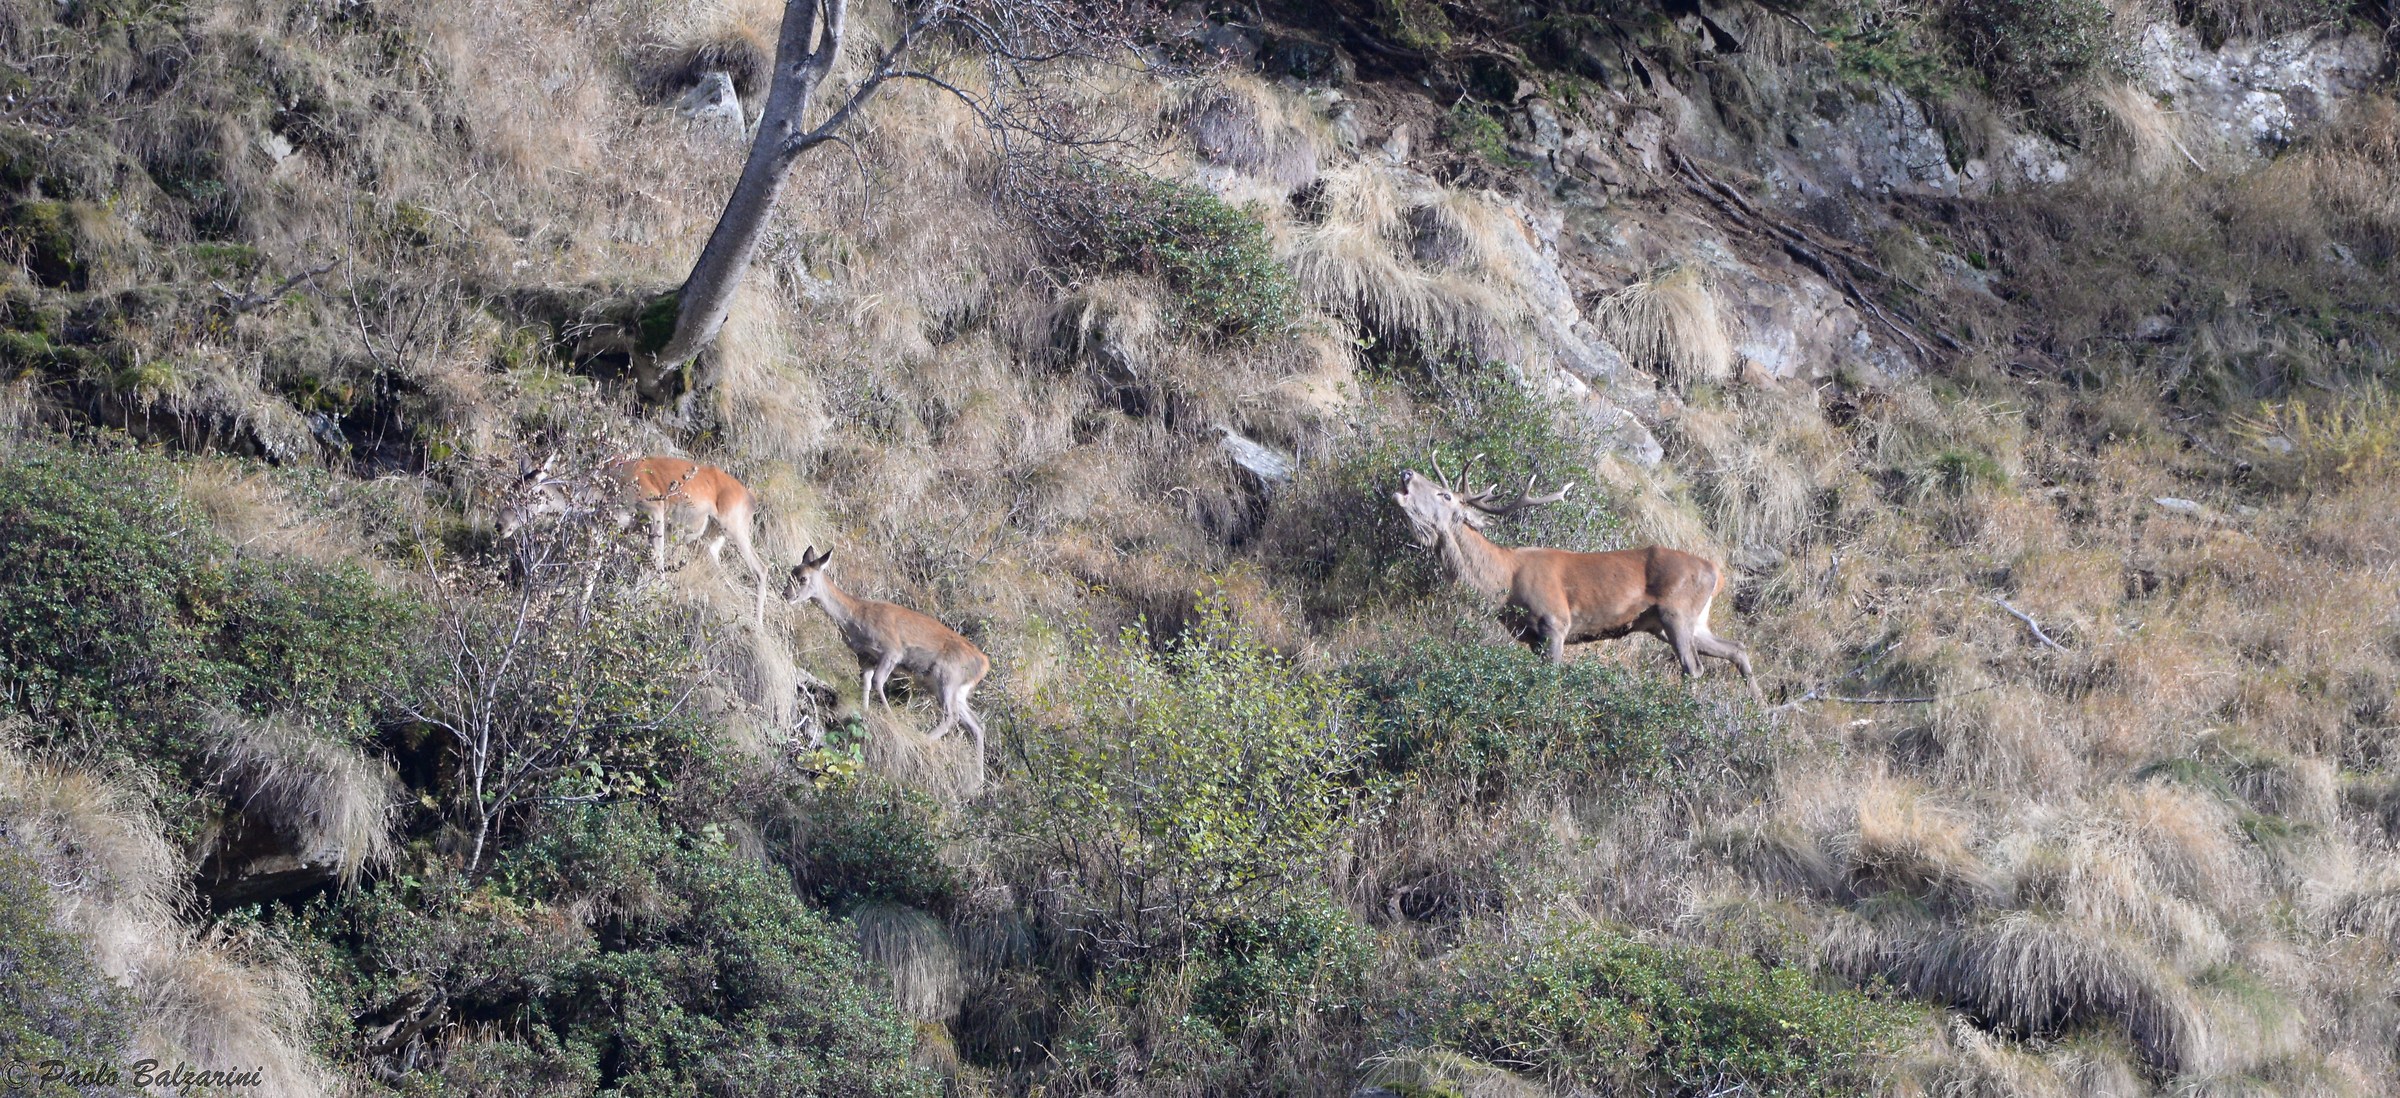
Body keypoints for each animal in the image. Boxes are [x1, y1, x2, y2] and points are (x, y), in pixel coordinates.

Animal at [496, 455, 768, 628]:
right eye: (510, 489)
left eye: (530, 494)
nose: (500, 525)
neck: (603, 496)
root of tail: (752, 499)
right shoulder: (603, 530)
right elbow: (588, 579)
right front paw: (580, 621)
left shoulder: (653, 509)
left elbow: (657, 570)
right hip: (708, 541)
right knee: (727, 579)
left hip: (734, 525)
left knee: (760, 569)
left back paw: (758, 624)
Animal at [777, 544, 984, 786]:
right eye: (791, 572)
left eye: (803, 578)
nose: (786, 594)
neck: (855, 619)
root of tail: (984, 665)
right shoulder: (865, 657)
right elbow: (866, 683)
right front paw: (864, 712)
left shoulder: (891, 650)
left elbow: (877, 682)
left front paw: (890, 718)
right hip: (953, 688)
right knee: (976, 725)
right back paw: (978, 780)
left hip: (947, 676)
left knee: (952, 716)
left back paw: (924, 740)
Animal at [1392, 457, 1766, 704]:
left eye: (1444, 495)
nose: (1406, 472)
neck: (1505, 583)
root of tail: (1717, 573)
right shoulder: (1531, 637)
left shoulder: (1555, 620)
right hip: (1679, 621)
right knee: (1736, 648)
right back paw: (1759, 707)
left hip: (1677, 612)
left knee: (1694, 667)